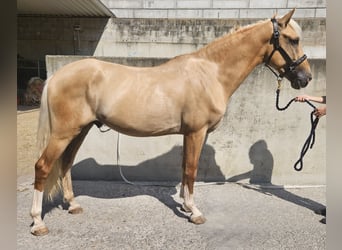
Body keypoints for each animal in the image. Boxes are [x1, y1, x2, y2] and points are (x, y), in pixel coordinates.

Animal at [30, 9, 312, 236]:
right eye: (293, 40)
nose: (306, 78)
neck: (210, 73)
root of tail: (56, 76)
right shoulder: (196, 132)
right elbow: (191, 170)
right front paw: (195, 212)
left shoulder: (189, 134)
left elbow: (184, 168)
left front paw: (186, 206)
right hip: (64, 132)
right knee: (43, 166)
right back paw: (38, 223)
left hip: (80, 130)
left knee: (66, 163)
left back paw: (73, 205)